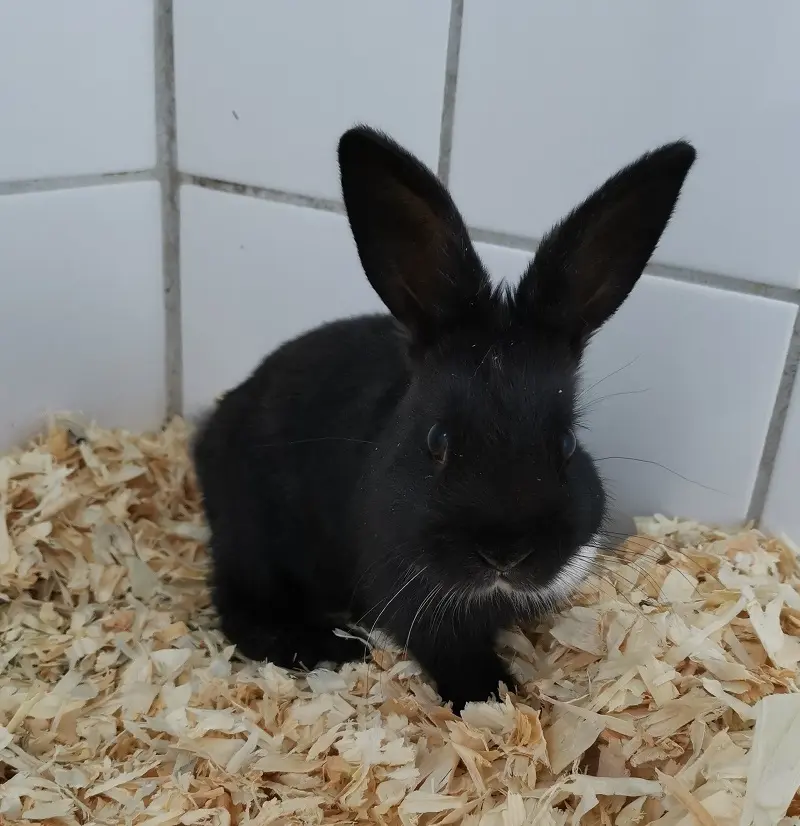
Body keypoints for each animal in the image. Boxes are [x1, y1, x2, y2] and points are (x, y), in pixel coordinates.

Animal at [192, 125, 695, 712]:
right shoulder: (410, 599)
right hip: (254, 538)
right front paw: (496, 701)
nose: (505, 553)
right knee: (241, 607)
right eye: (437, 440)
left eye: (568, 442)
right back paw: (332, 648)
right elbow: (454, 654)